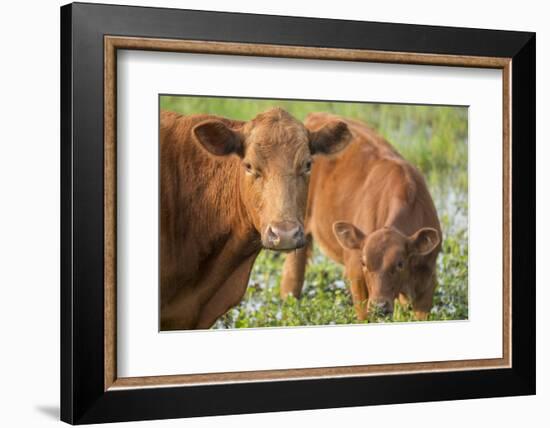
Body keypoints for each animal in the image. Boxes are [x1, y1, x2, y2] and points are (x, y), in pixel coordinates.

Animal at [282, 112, 442, 320]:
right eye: (364, 263)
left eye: (400, 263)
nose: (379, 306)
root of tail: (315, 116)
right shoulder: (355, 272)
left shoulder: (428, 279)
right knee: (292, 276)